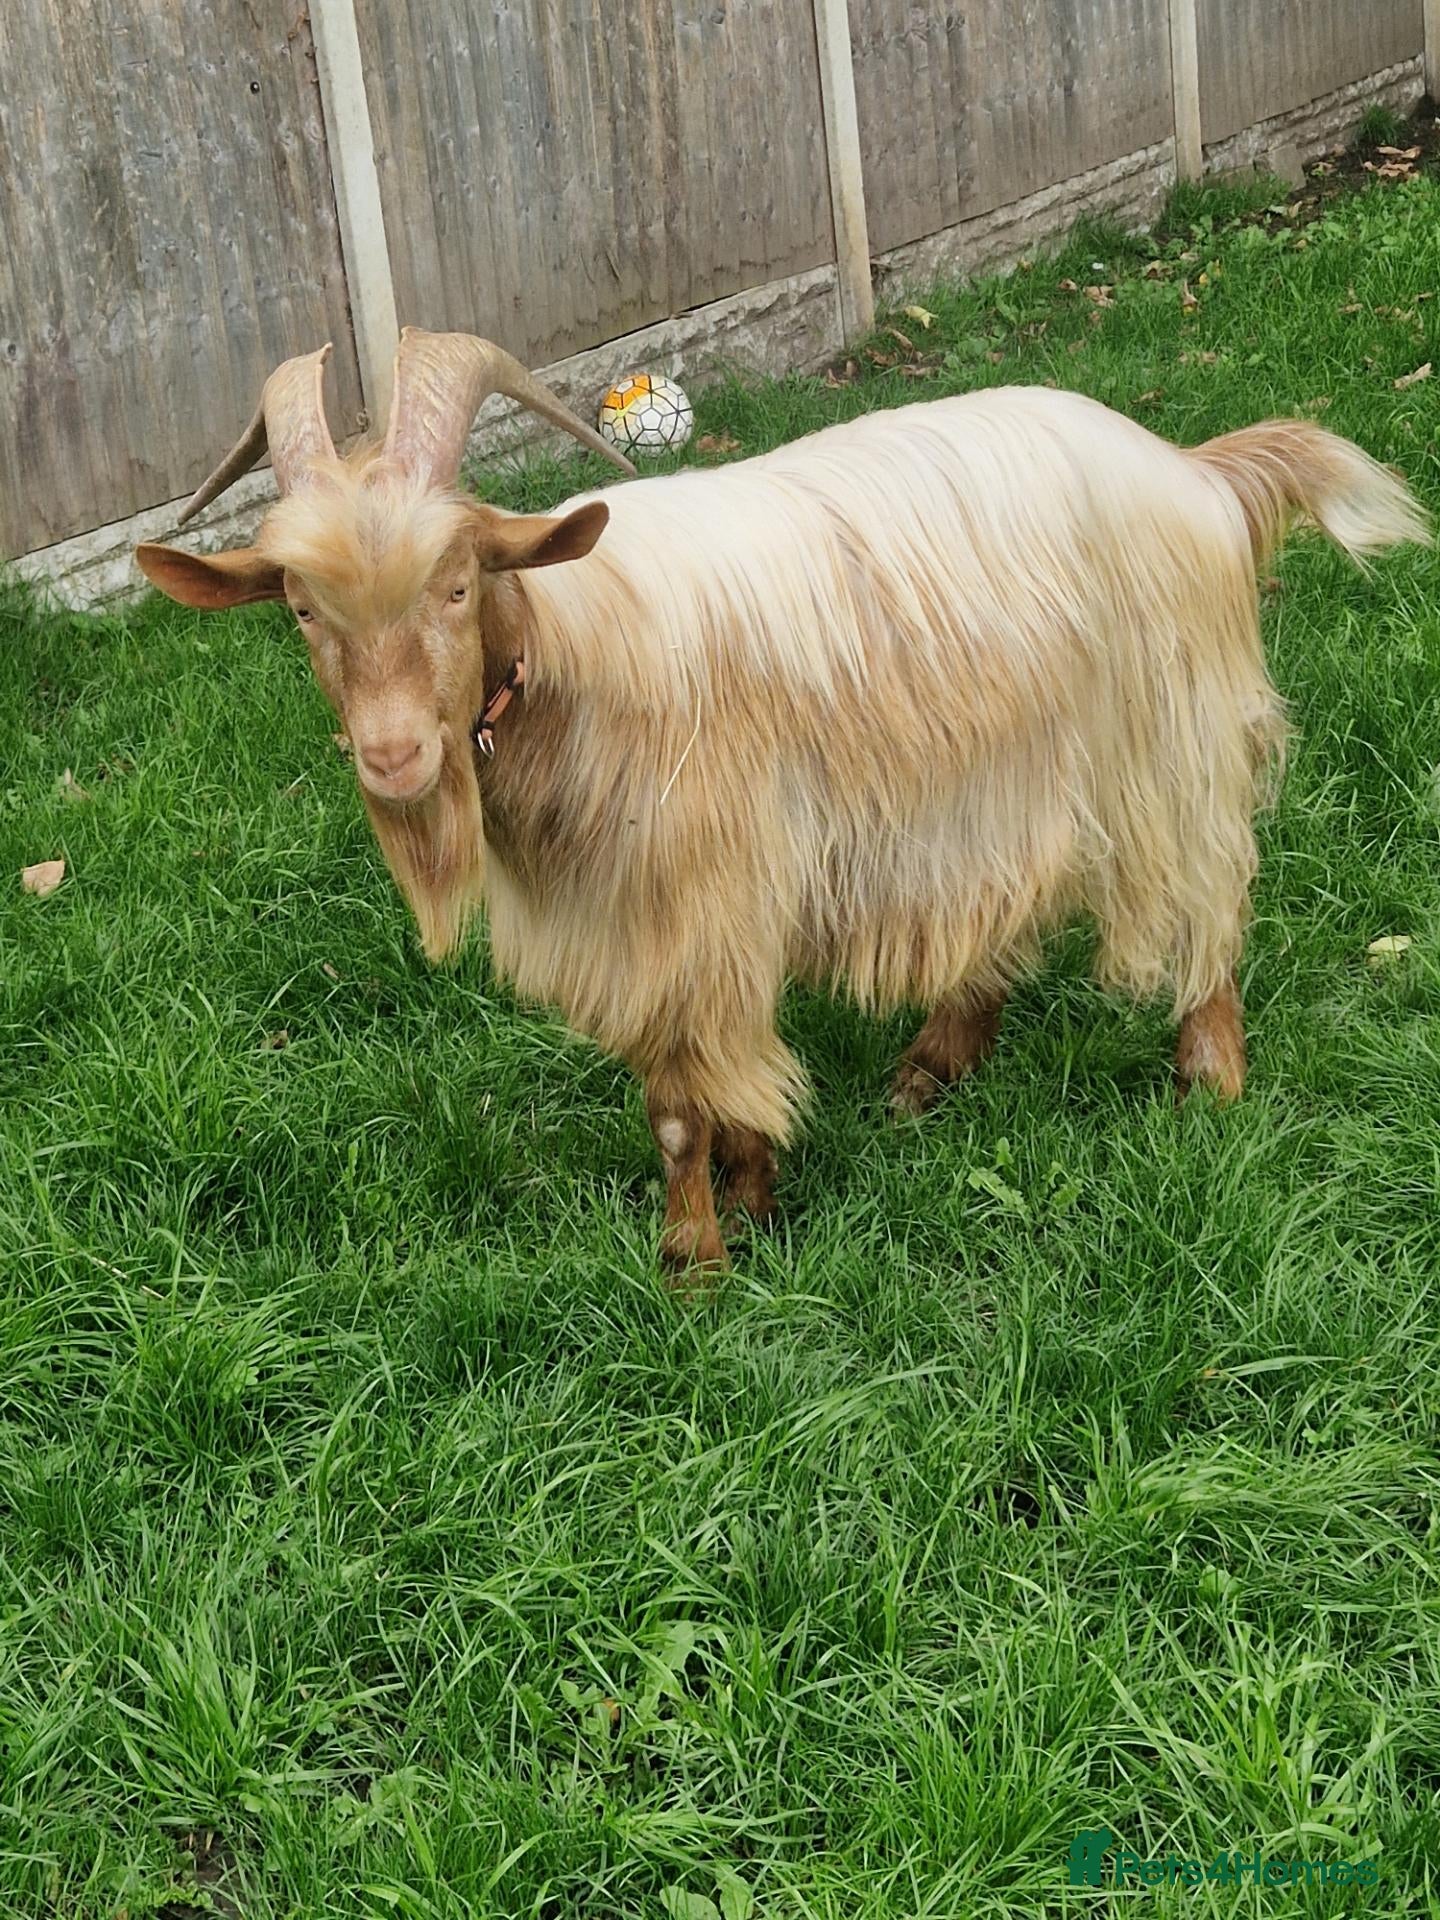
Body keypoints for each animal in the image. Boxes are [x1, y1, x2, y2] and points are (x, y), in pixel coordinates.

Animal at [136, 329, 1428, 1272]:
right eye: (302, 609)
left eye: (457, 583)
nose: (394, 758)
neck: (575, 651)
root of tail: (1195, 474)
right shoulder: (683, 917)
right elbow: (713, 1084)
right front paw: (754, 1199)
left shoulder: (694, 902)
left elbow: (679, 1105)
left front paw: (697, 1263)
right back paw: (929, 1070)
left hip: (1166, 739)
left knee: (1207, 896)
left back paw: (1209, 1082)